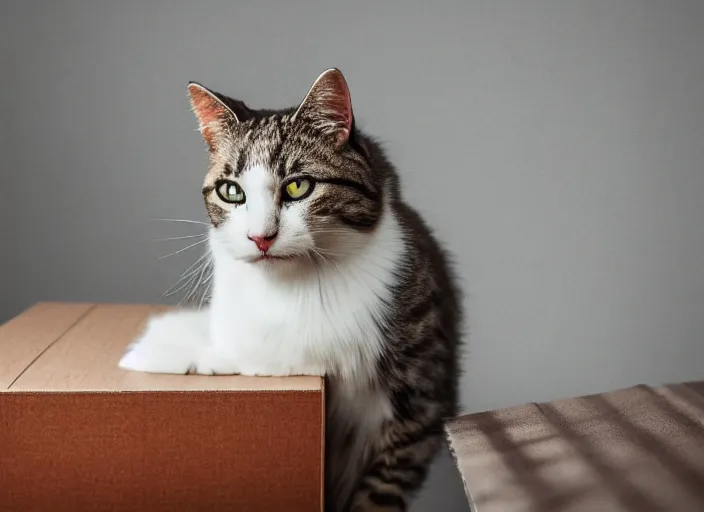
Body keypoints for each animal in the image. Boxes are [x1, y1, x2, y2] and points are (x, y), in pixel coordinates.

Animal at [119, 69, 462, 512]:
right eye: (231, 191)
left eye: (299, 186)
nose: (259, 237)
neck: (299, 287)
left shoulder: (420, 402)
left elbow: (378, 492)